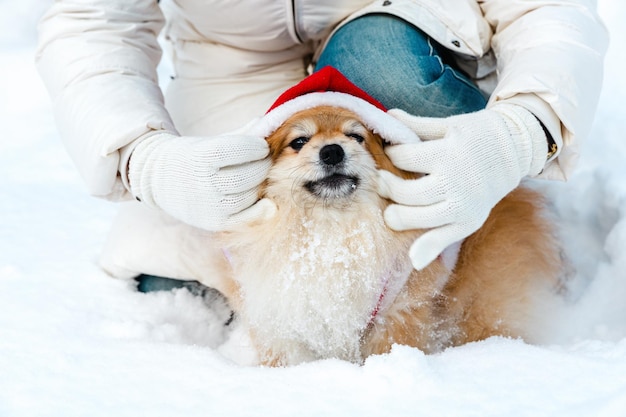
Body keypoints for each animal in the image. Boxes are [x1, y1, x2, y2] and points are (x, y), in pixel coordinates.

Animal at [216, 105, 560, 366]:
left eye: (356, 136)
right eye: (299, 141)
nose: (332, 151)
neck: (333, 232)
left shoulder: (397, 312)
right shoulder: (284, 314)